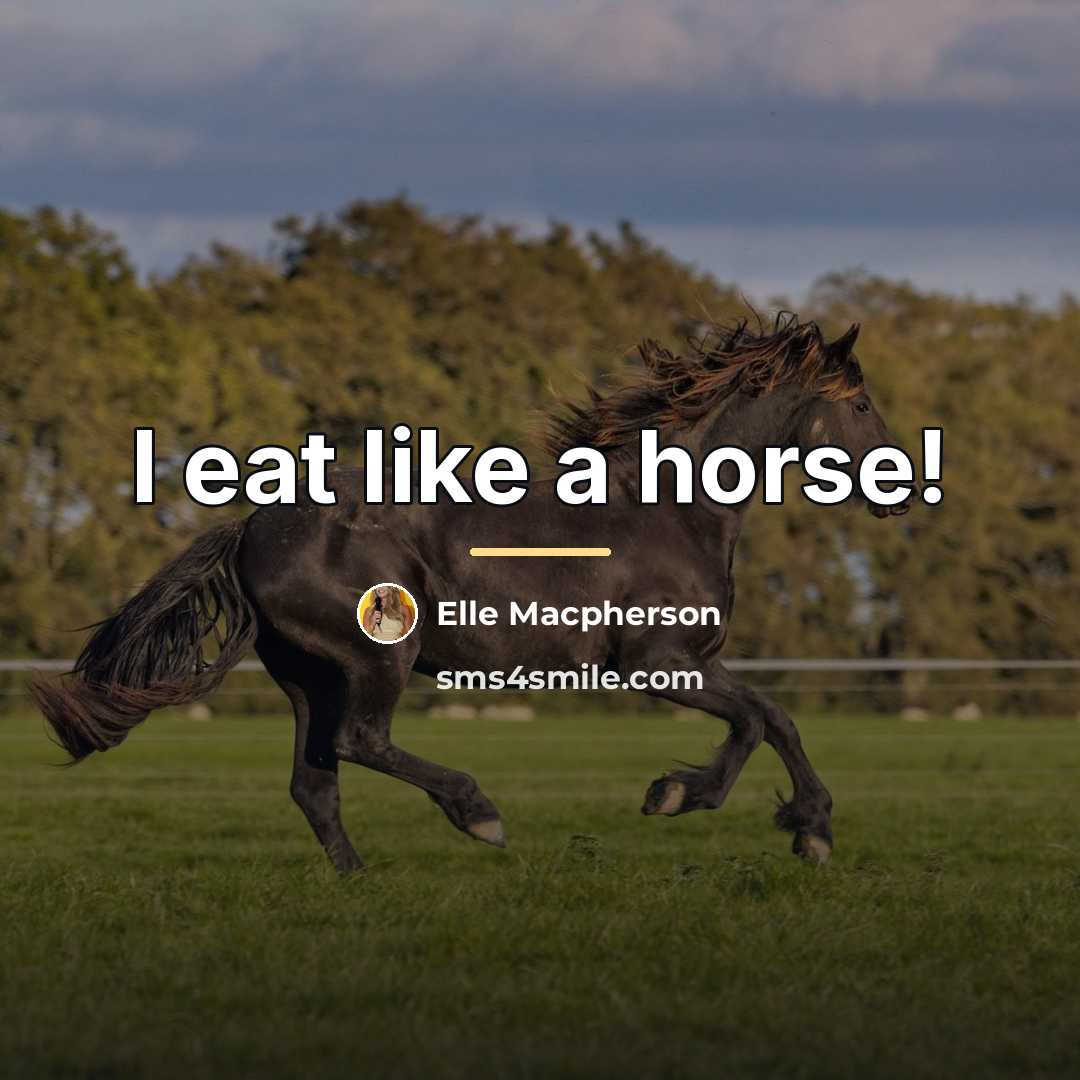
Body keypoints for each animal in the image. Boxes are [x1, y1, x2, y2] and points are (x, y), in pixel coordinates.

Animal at [32, 313, 913, 872]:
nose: (900, 492)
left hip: (308, 675)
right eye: (864, 404)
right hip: (376, 657)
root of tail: (252, 526)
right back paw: (478, 814)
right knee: (359, 744)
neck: (674, 506)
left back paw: (359, 880)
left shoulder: (688, 662)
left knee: (315, 781)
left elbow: (769, 720)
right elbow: (761, 720)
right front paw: (701, 802)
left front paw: (790, 825)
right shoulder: (656, 661)